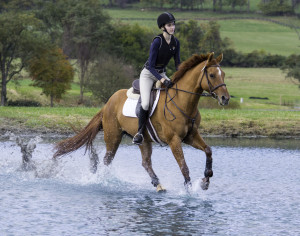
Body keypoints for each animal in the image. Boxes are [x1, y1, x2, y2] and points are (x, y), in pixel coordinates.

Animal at [52, 52, 230, 193]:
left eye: (223, 74)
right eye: (212, 75)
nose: (225, 99)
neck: (182, 101)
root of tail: (108, 103)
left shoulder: (191, 136)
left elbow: (208, 150)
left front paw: (206, 180)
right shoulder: (174, 140)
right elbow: (184, 166)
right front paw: (189, 190)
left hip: (144, 140)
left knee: (145, 162)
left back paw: (158, 185)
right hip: (113, 137)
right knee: (107, 160)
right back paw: (104, 181)